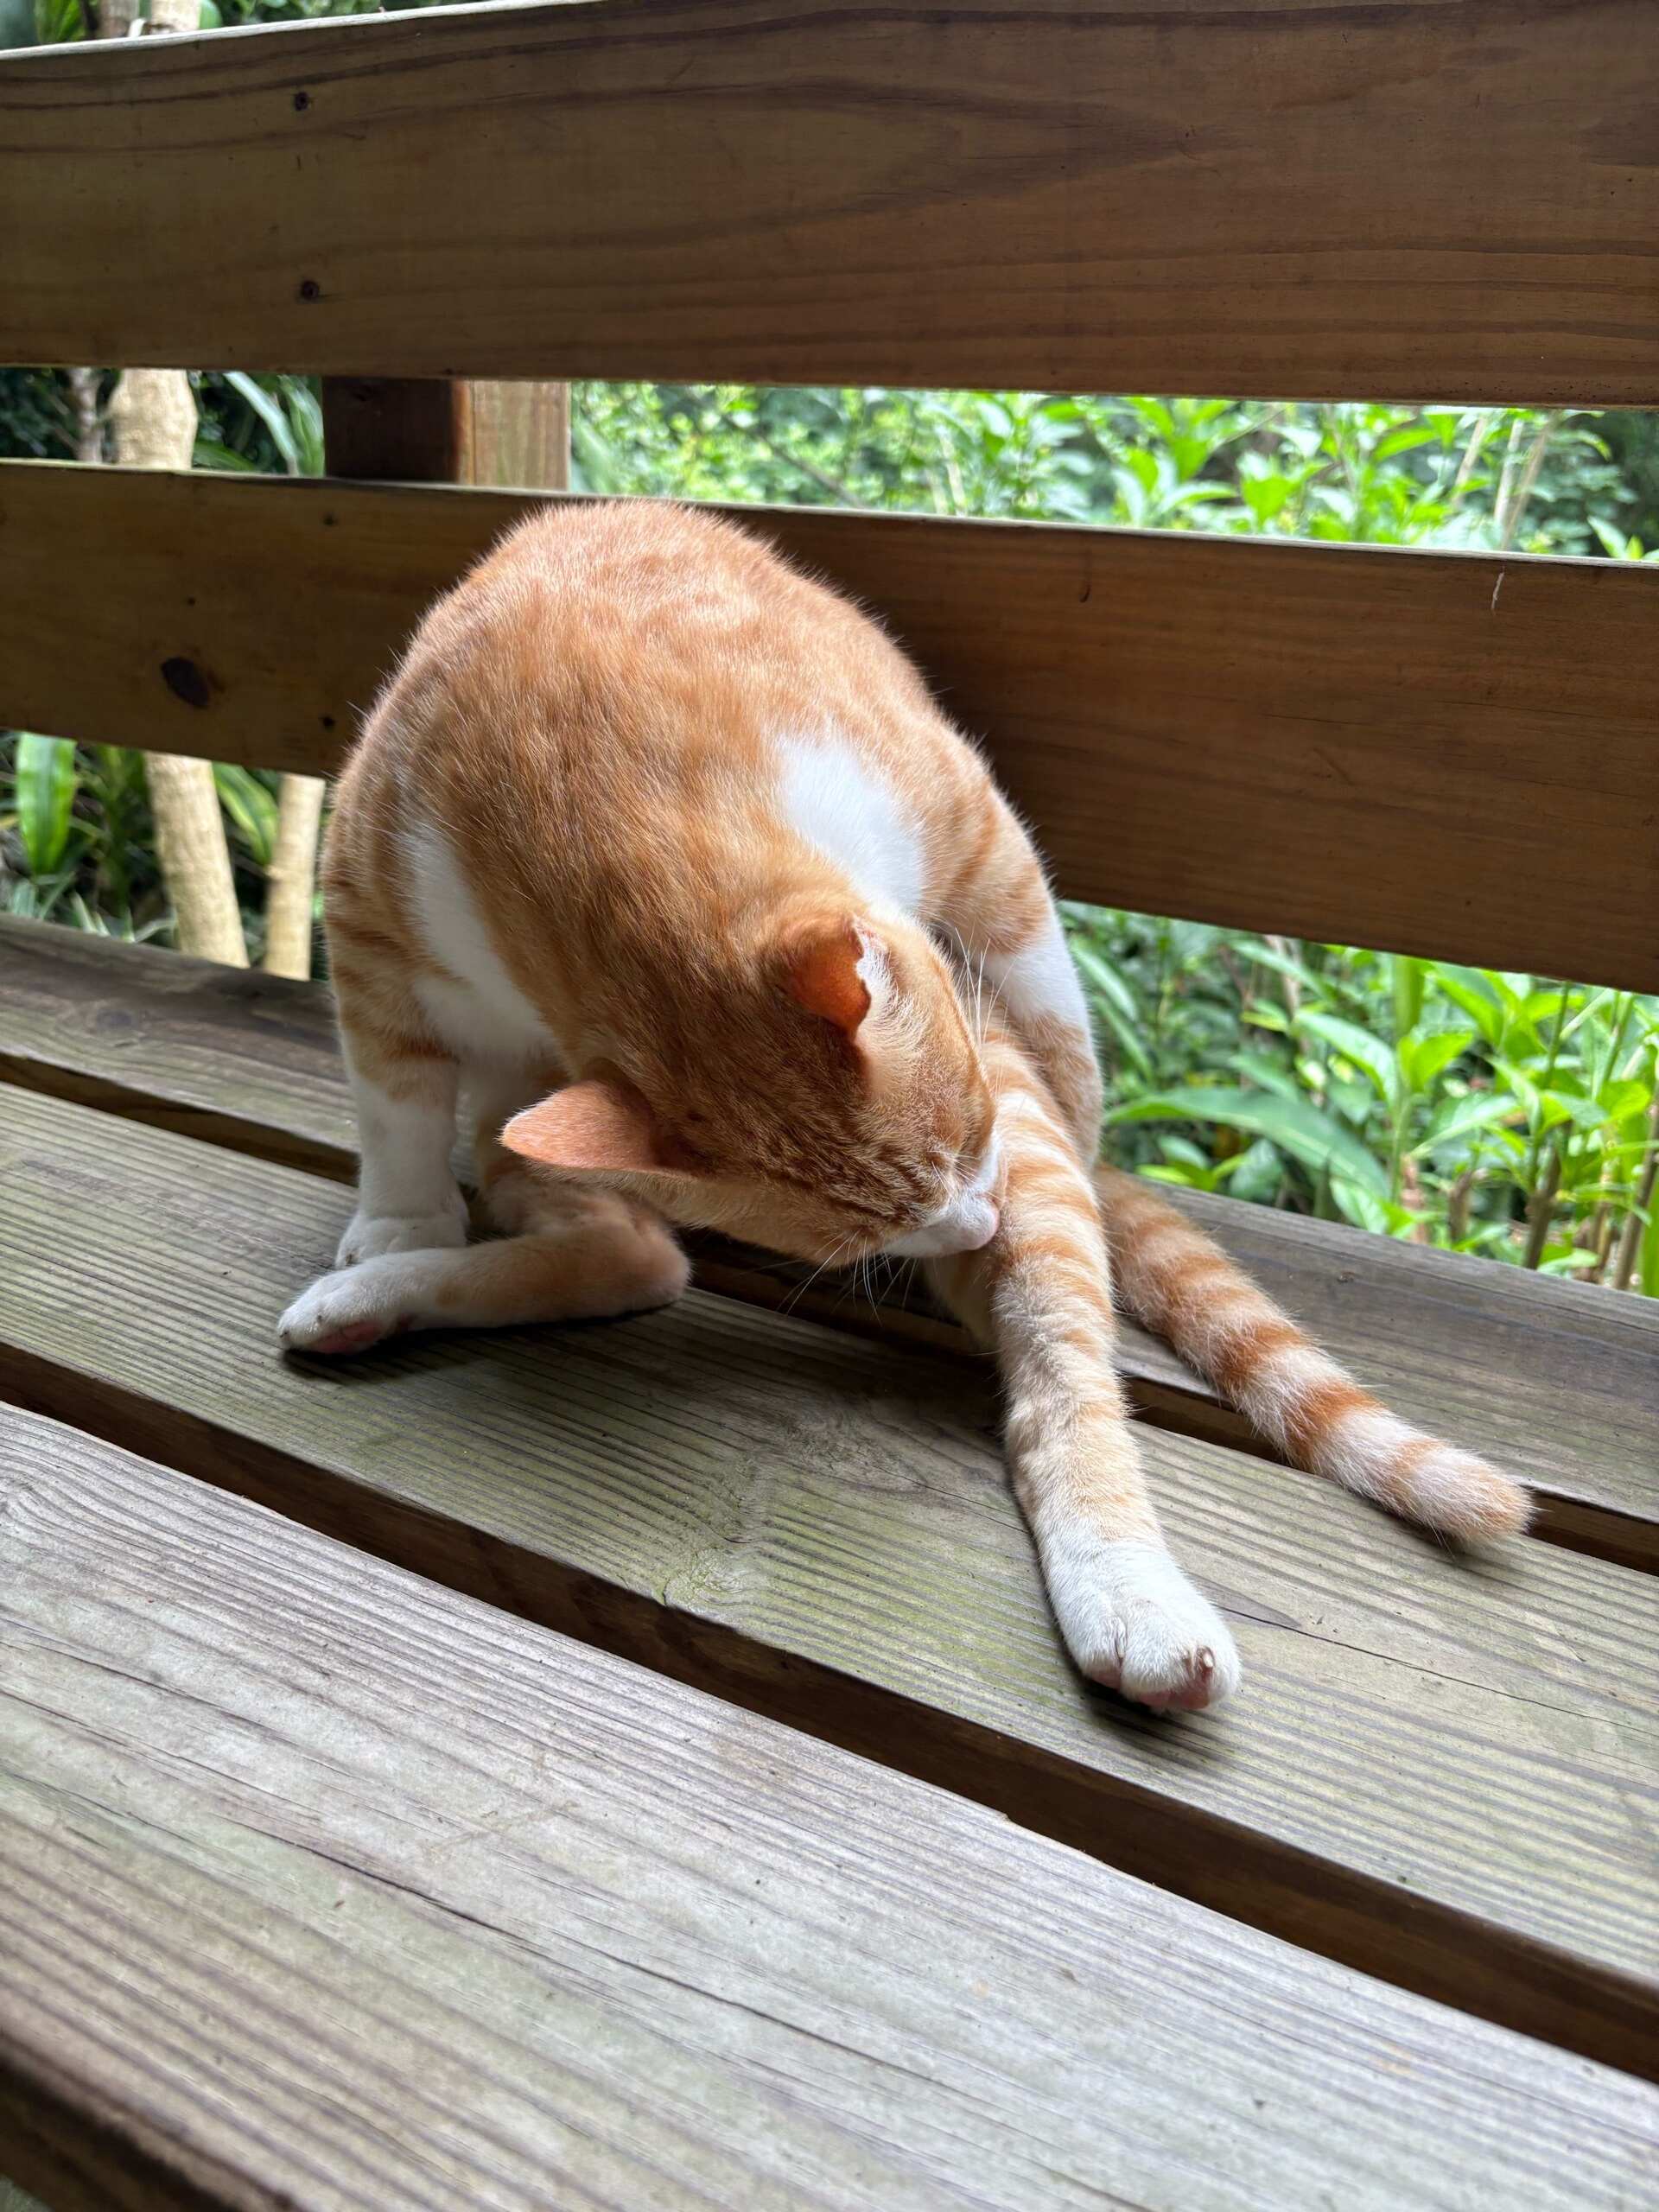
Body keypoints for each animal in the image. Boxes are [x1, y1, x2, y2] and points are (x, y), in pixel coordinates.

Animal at [279, 499, 1530, 1712]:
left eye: (974, 1142)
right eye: (862, 1241)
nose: (982, 1220)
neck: (576, 773)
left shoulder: (970, 829)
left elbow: (1048, 975)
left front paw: (1080, 1112)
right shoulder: (368, 907)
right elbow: (391, 1099)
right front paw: (400, 1220)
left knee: (1054, 1382)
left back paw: (1126, 1590)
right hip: (534, 1136)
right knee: (635, 1257)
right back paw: (375, 1297)